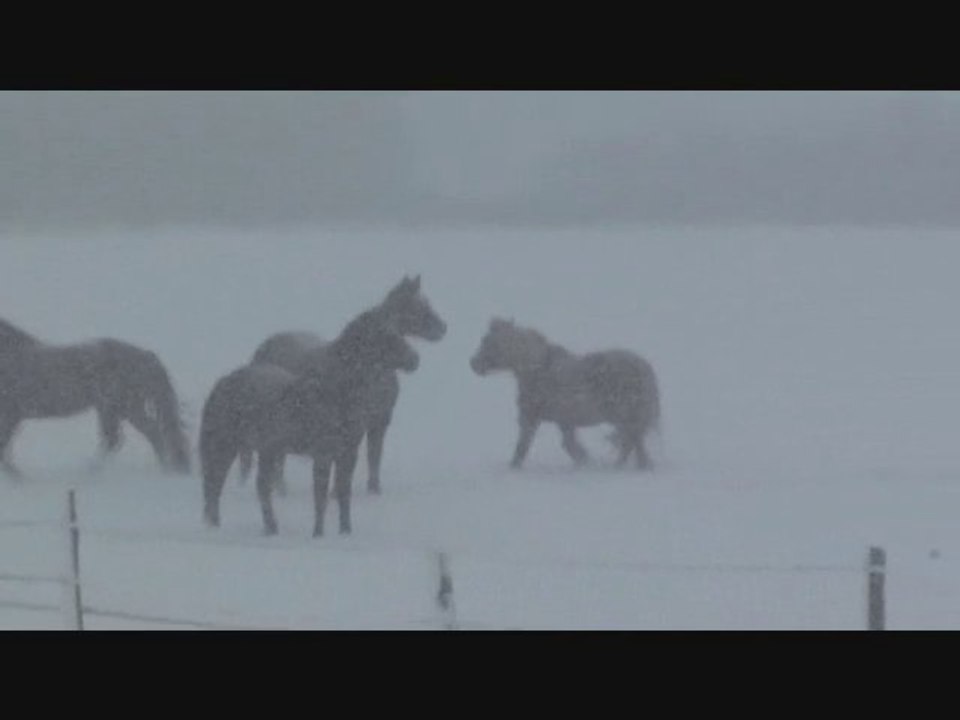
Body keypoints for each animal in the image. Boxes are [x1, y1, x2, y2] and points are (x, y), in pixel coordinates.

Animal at [0, 317, 191, 477]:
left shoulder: (11, 415)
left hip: (123, 408)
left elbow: (3, 447)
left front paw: (16, 477)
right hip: (112, 409)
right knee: (119, 439)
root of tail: (145, 356)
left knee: (147, 434)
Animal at [200, 309, 420, 537]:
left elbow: (343, 494)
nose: (415, 359)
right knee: (214, 483)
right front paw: (318, 535)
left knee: (259, 486)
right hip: (225, 445)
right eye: (384, 336)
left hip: (266, 451)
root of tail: (223, 382)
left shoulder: (348, 454)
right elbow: (320, 497)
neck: (334, 395)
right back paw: (215, 525)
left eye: (397, 331)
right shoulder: (323, 454)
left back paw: (270, 528)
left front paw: (345, 532)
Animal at [241, 275, 446, 495]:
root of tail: (262, 350)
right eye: (418, 306)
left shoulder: (379, 420)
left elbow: (374, 457)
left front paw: (374, 490)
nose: (443, 328)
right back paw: (280, 490)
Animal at [470, 318, 660, 470]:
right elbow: (570, 445)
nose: (473, 364)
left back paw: (627, 467)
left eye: (489, 342)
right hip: (625, 419)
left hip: (626, 416)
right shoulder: (565, 421)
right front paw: (585, 462)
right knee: (631, 443)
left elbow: (523, 446)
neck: (537, 370)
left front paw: (513, 468)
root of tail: (646, 369)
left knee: (633, 443)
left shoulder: (531, 417)